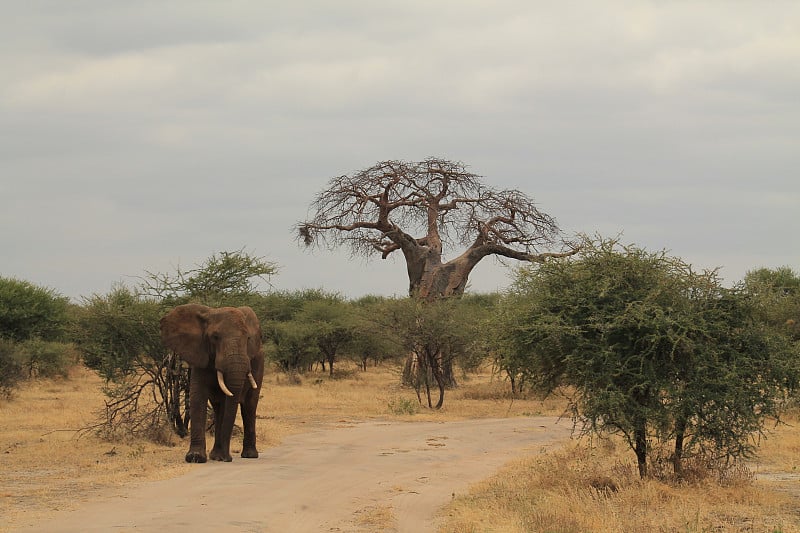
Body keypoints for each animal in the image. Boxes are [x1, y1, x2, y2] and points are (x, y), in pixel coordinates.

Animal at [160, 304, 266, 462]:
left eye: (247, 338)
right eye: (215, 337)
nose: (228, 458)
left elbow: (228, 402)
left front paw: (217, 457)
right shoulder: (199, 355)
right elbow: (198, 398)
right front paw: (196, 457)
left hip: (259, 365)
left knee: (249, 406)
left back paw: (249, 455)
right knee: (219, 408)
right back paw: (216, 455)